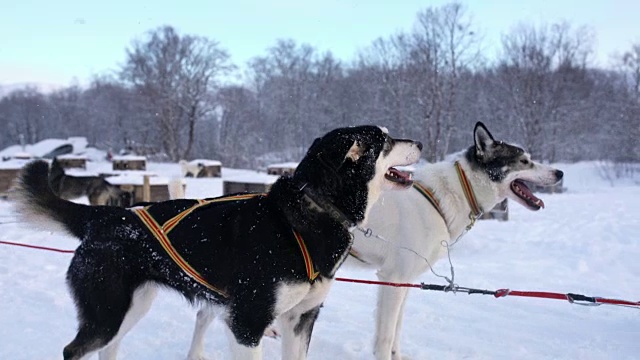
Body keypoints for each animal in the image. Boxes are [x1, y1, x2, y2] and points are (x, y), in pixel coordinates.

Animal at [12, 126, 422, 360]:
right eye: (386, 139)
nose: (419, 141)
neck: (307, 216)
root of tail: (105, 216)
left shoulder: (299, 320)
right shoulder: (247, 326)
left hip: (132, 308)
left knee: (108, 350)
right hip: (106, 314)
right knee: (74, 351)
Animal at [186, 121, 564, 360]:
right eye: (524, 160)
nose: (560, 172)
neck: (446, 197)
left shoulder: (405, 282)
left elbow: (395, 331)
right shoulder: (392, 280)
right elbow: (384, 336)